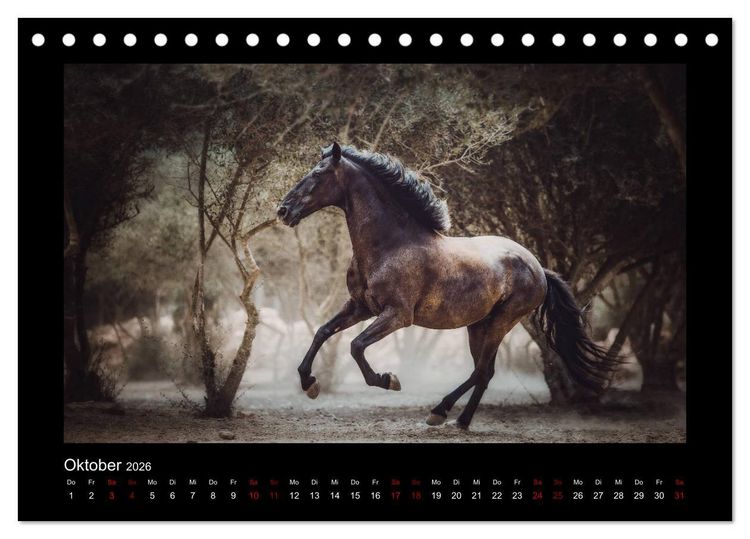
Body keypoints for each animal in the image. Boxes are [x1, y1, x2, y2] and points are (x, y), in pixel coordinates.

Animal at [277, 142, 617, 429]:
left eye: (318, 174)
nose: (283, 210)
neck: (390, 244)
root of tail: (538, 268)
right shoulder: (360, 307)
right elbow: (323, 332)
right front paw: (309, 384)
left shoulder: (397, 315)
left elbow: (356, 345)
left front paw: (388, 380)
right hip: (478, 325)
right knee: (485, 373)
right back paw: (460, 421)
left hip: (502, 322)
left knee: (481, 371)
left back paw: (440, 411)